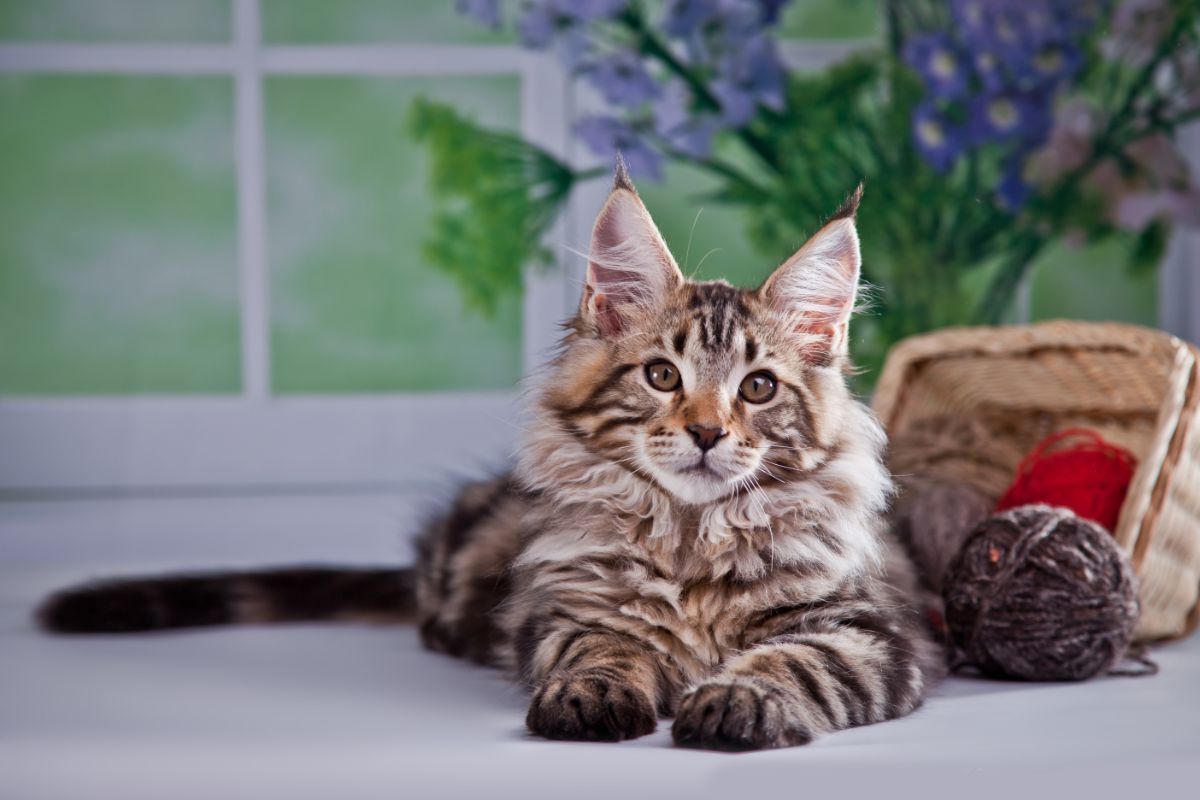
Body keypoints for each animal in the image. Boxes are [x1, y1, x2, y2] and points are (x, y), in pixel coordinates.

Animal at [39, 164, 945, 753]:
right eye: (663, 376)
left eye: (757, 389)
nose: (707, 433)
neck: (690, 538)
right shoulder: (564, 610)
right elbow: (601, 648)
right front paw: (595, 695)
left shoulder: (872, 633)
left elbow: (796, 661)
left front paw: (737, 698)